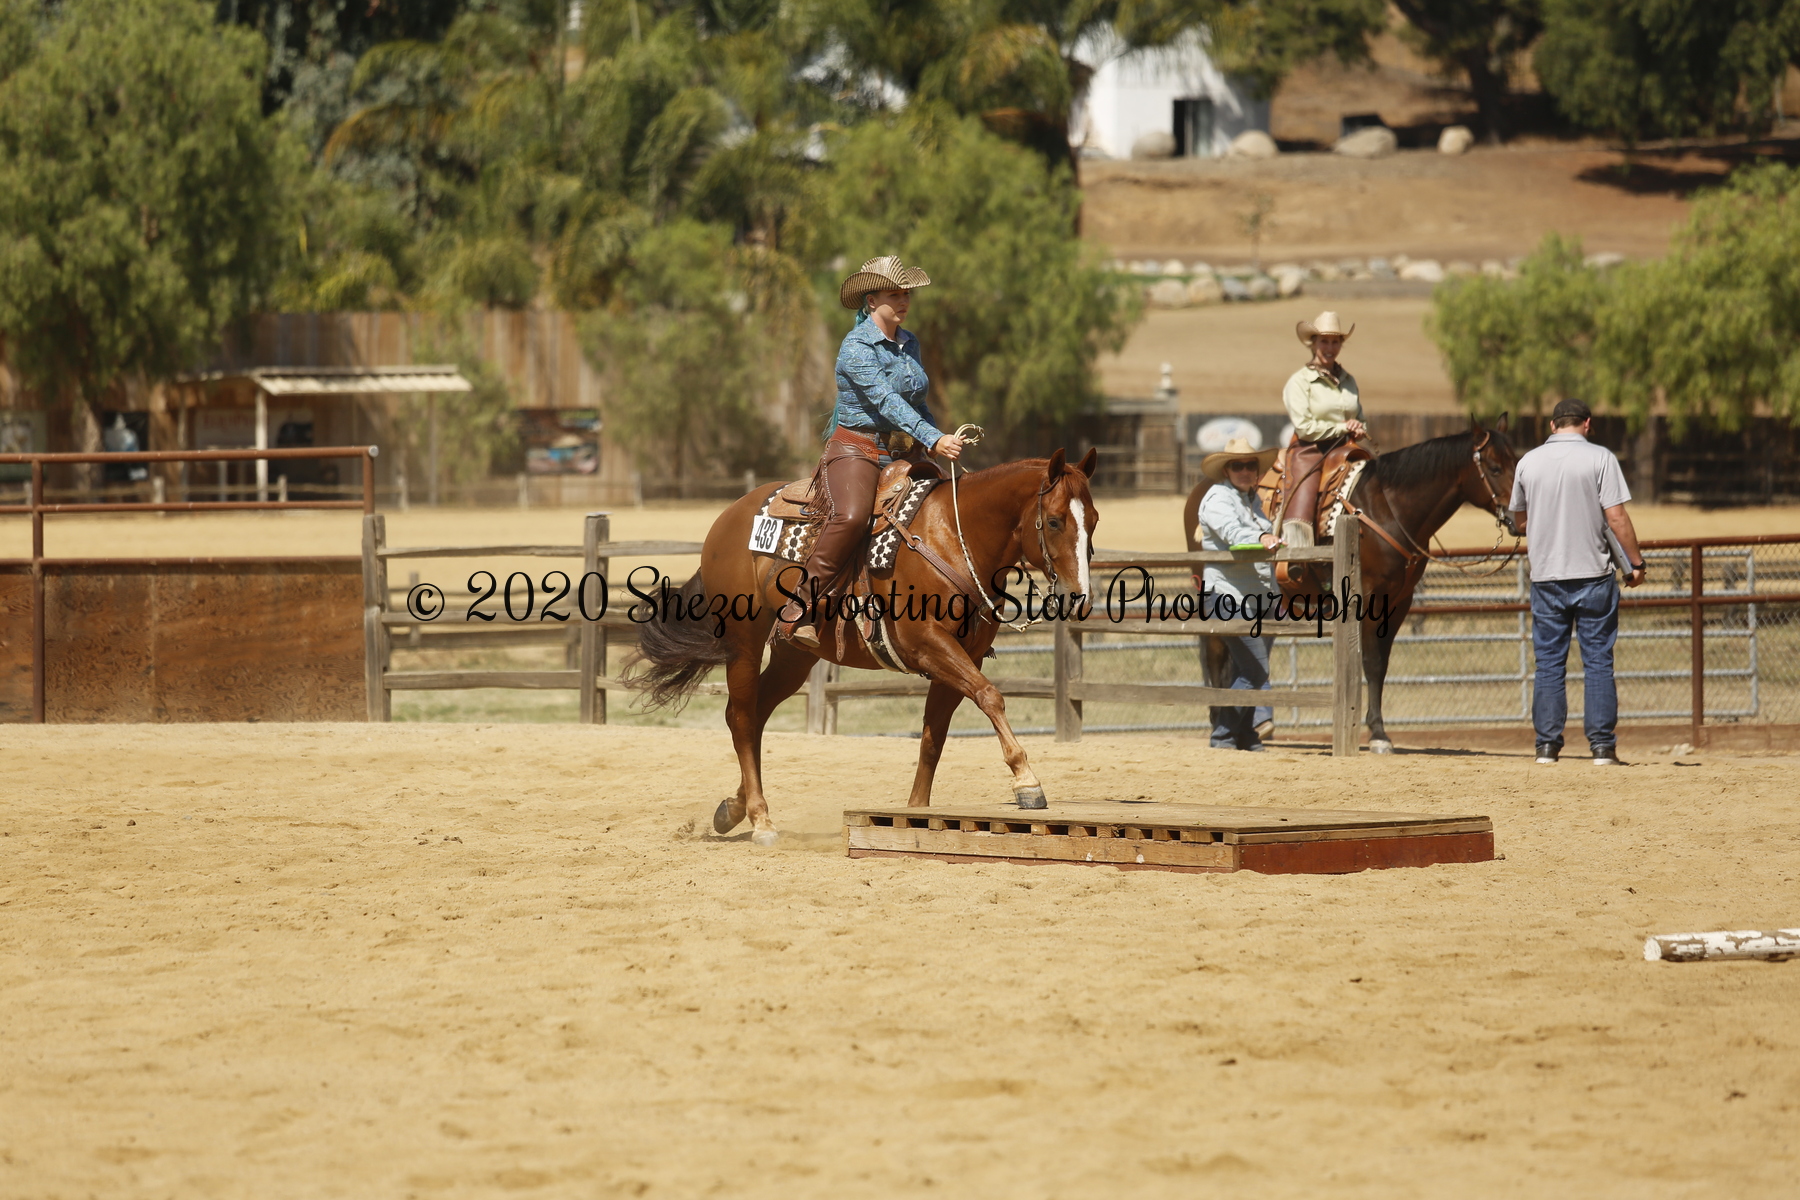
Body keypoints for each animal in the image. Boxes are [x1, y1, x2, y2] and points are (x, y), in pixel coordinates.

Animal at [631, 448, 1100, 844]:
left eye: (1093, 520)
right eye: (1054, 521)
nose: (1079, 598)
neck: (952, 537)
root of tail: (728, 517)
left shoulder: (962, 657)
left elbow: (934, 735)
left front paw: (917, 812)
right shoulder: (928, 644)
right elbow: (990, 696)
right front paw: (1027, 782)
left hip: (793, 657)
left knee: (756, 713)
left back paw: (733, 808)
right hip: (743, 645)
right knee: (743, 718)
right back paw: (761, 819)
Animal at [1183, 417, 1519, 753]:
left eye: (1516, 461)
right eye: (1493, 468)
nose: (1520, 518)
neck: (1386, 509)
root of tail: (1200, 489)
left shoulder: (1400, 602)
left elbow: (1382, 665)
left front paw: (1379, 730)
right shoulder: (1369, 598)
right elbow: (1370, 661)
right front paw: (1378, 733)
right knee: (1214, 651)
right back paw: (1221, 722)